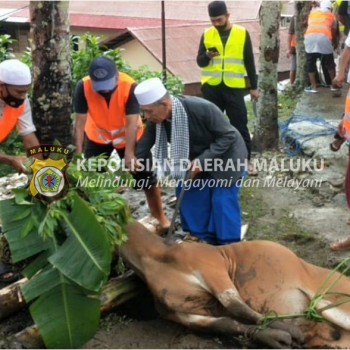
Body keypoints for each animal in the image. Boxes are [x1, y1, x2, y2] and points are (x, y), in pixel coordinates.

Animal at [119, 221, 350, 348]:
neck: (154, 256)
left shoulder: (213, 269)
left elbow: (236, 305)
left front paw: (286, 330)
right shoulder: (182, 313)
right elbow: (226, 323)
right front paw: (274, 338)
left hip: (333, 301)